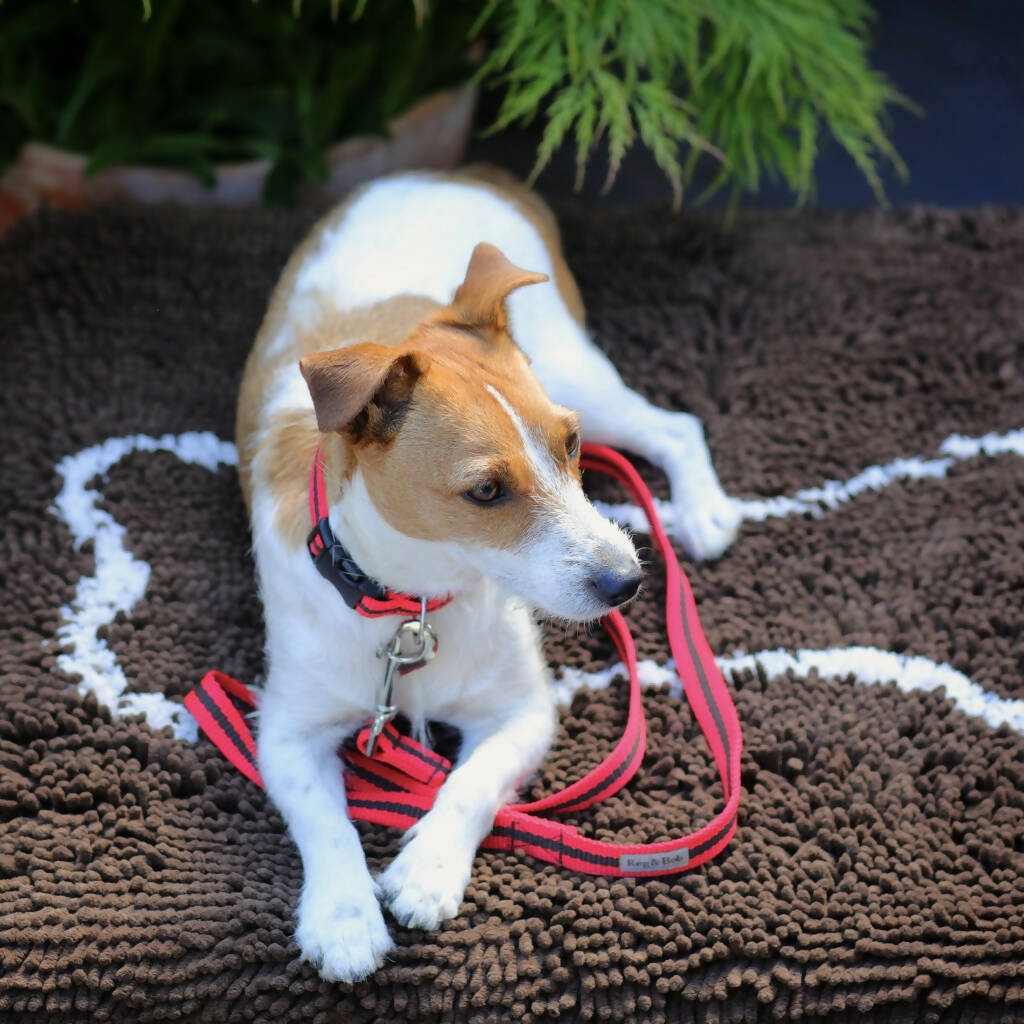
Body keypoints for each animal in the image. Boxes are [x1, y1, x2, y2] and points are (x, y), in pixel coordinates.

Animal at [235, 169, 741, 983]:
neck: (414, 606)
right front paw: (343, 916)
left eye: (569, 446)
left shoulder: (523, 714)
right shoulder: (285, 729)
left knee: (674, 426)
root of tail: (463, 173)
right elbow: (327, 819)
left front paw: (428, 871)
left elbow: (470, 785)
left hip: (579, 373)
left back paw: (704, 509)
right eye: (486, 492)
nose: (627, 583)